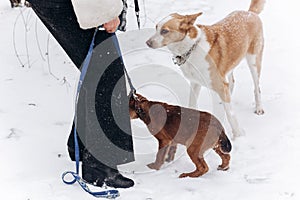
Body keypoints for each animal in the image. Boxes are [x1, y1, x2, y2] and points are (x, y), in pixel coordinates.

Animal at [145, 0, 264, 139]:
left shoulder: (219, 83)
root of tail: (250, 13)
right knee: (232, 82)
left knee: (257, 87)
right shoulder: (195, 82)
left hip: (254, 61)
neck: (191, 48)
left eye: (164, 31)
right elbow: (191, 104)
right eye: (156, 28)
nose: (147, 42)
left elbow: (230, 115)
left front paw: (238, 136)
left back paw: (259, 108)